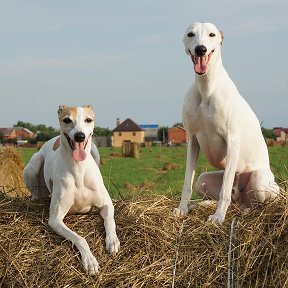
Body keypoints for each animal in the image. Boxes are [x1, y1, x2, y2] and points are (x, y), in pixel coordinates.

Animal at [22, 105, 120, 274]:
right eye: (67, 120)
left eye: (88, 120)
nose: (80, 136)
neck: (78, 168)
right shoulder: (55, 220)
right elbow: (79, 238)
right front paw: (90, 260)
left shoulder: (106, 205)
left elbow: (110, 221)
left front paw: (112, 241)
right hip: (33, 165)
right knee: (36, 193)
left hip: (95, 150)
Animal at [173, 23, 280, 225]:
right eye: (191, 34)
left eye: (212, 34)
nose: (201, 49)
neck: (206, 86)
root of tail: (241, 198)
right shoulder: (192, 140)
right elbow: (186, 183)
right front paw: (182, 209)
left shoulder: (232, 140)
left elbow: (224, 191)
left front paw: (218, 216)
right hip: (203, 180)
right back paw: (201, 205)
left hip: (260, 181)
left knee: (255, 203)